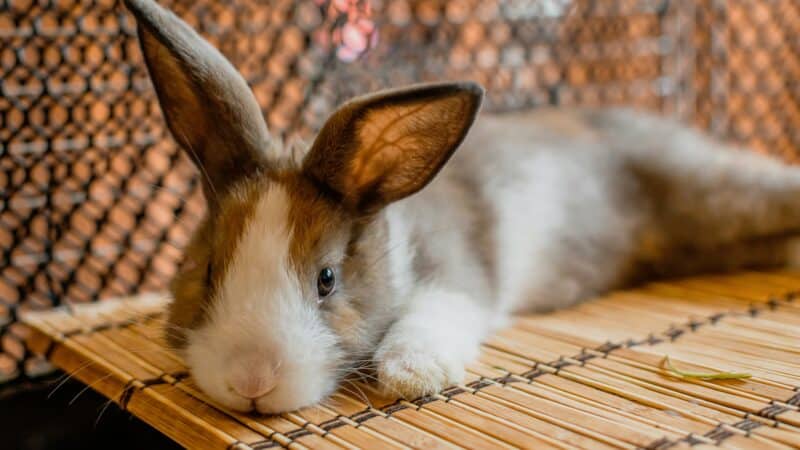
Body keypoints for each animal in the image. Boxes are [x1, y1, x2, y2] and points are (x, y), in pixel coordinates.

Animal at [125, 0, 800, 414]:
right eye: (208, 270)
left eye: (327, 280)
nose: (252, 382)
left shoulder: (458, 272)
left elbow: (436, 314)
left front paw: (412, 373)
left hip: (719, 191)